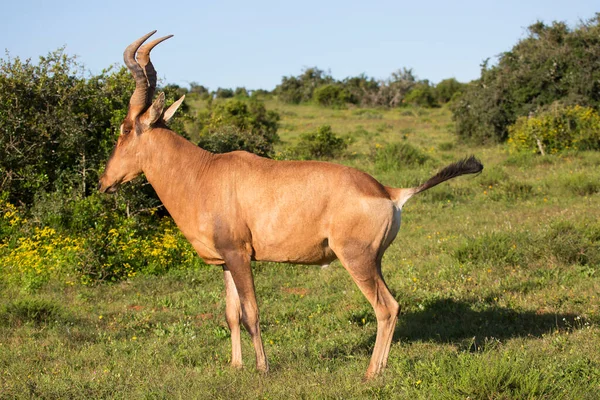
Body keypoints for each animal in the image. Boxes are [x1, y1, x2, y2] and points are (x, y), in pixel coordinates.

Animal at [98, 31, 482, 378]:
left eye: (125, 128)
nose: (104, 183)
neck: (205, 172)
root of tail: (389, 191)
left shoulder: (240, 255)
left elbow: (251, 313)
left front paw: (263, 368)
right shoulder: (226, 261)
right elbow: (231, 314)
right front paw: (235, 366)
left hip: (357, 259)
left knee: (386, 307)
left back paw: (371, 373)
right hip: (375, 260)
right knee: (392, 305)